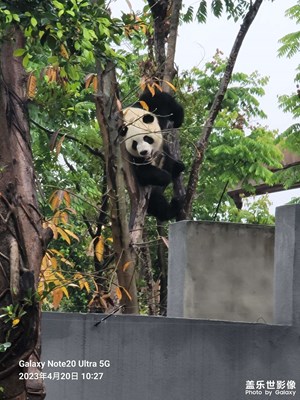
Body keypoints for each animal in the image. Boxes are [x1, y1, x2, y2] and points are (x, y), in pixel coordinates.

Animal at [118, 86, 184, 222]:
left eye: (147, 138)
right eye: (134, 144)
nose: (144, 152)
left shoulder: (151, 108)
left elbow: (162, 101)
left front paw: (178, 120)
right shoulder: (128, 155)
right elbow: (143, 172)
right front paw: (165, 176)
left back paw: (177, 167)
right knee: (157, 203)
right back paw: (173, 206)